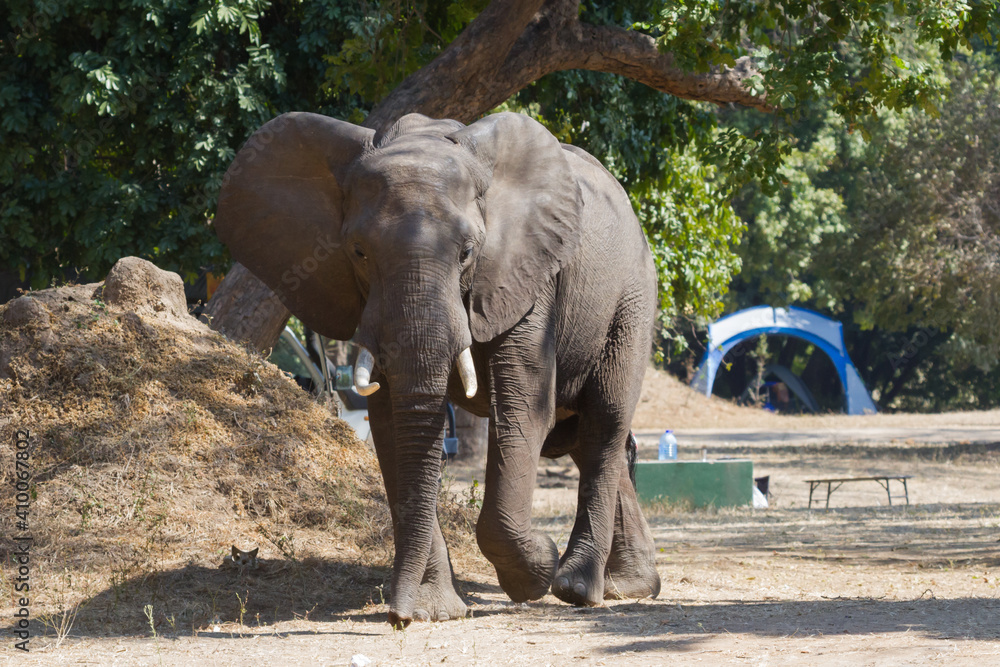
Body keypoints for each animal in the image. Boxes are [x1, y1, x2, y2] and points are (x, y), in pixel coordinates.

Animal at [213, 110, 661, 626]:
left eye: (467, 252)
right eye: (358, 252)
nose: (396, 617)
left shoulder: (528, 278)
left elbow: (524, 407)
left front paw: (535, 571)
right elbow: (389, 421)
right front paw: (435, 611)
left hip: (632, 299)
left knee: (604, 421)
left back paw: (576, 588)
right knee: (584, 440)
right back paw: (630, 585)